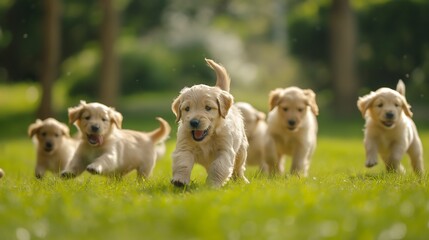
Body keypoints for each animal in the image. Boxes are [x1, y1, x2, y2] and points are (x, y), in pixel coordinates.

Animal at [171, 58, 249, 188]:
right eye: (187, 109)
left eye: (208, 108)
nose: (194, 122)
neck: (207, 138)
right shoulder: (184, 146)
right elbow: (183, 162)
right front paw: (180, 180)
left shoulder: (225, 150)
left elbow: (218, 167)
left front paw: (212, 185)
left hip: (241, 150)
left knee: (239, 168)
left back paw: (242, 180)